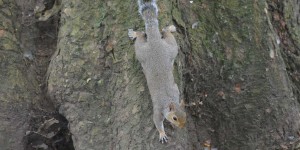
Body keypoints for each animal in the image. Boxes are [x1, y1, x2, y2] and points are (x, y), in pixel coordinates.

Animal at [127, 0, 185, 144]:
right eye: (175, 118)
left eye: (185, 115)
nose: (182, 126)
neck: (170, 100)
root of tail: (155, 41)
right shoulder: (158, 110)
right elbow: (157, 122)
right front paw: (162, 134)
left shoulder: (176, 90)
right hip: (142, 52)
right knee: (142, 36)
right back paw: (135, 34)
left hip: (171, 49)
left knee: (165, 32)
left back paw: (170, 28)